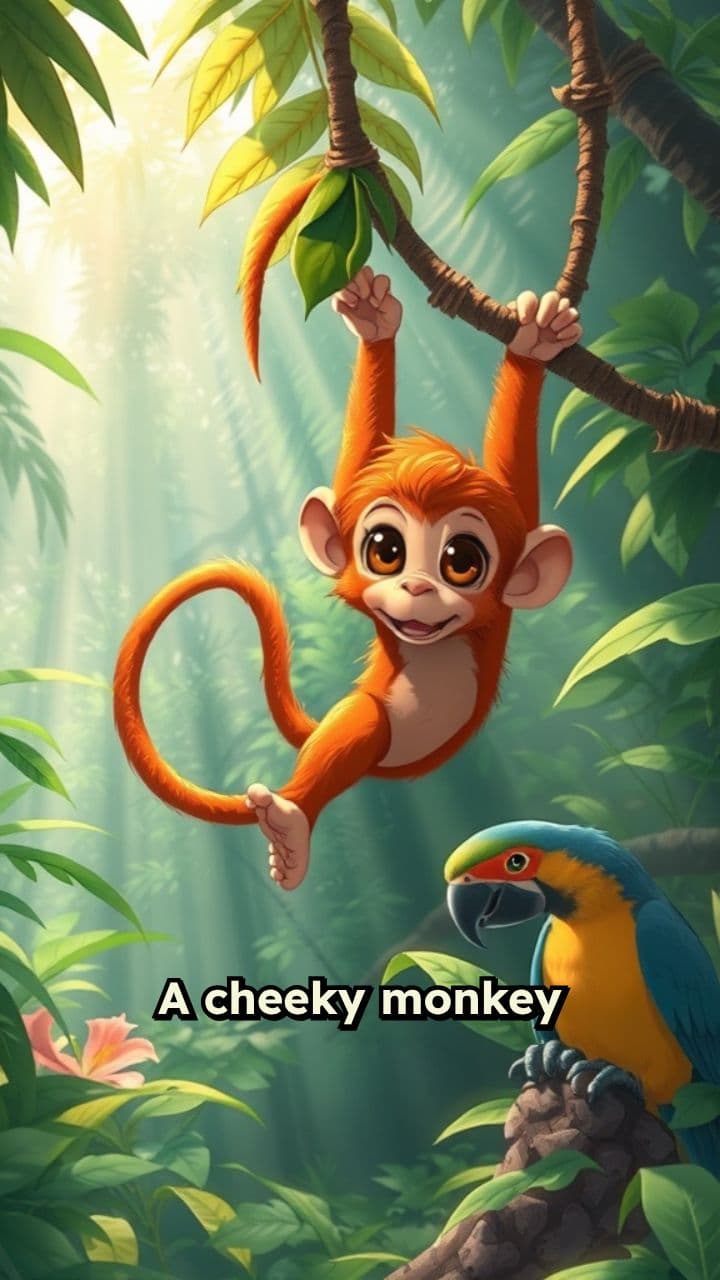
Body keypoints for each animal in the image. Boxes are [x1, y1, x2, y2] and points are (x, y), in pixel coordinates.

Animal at [114, 266, 581, 892]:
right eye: (385, 551)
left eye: (461, 561)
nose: (416, 588)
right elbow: (363, 456)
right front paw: (374, 325)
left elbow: (513, 481)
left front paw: (532, 343)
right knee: (364, 720)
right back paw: (290, 823)